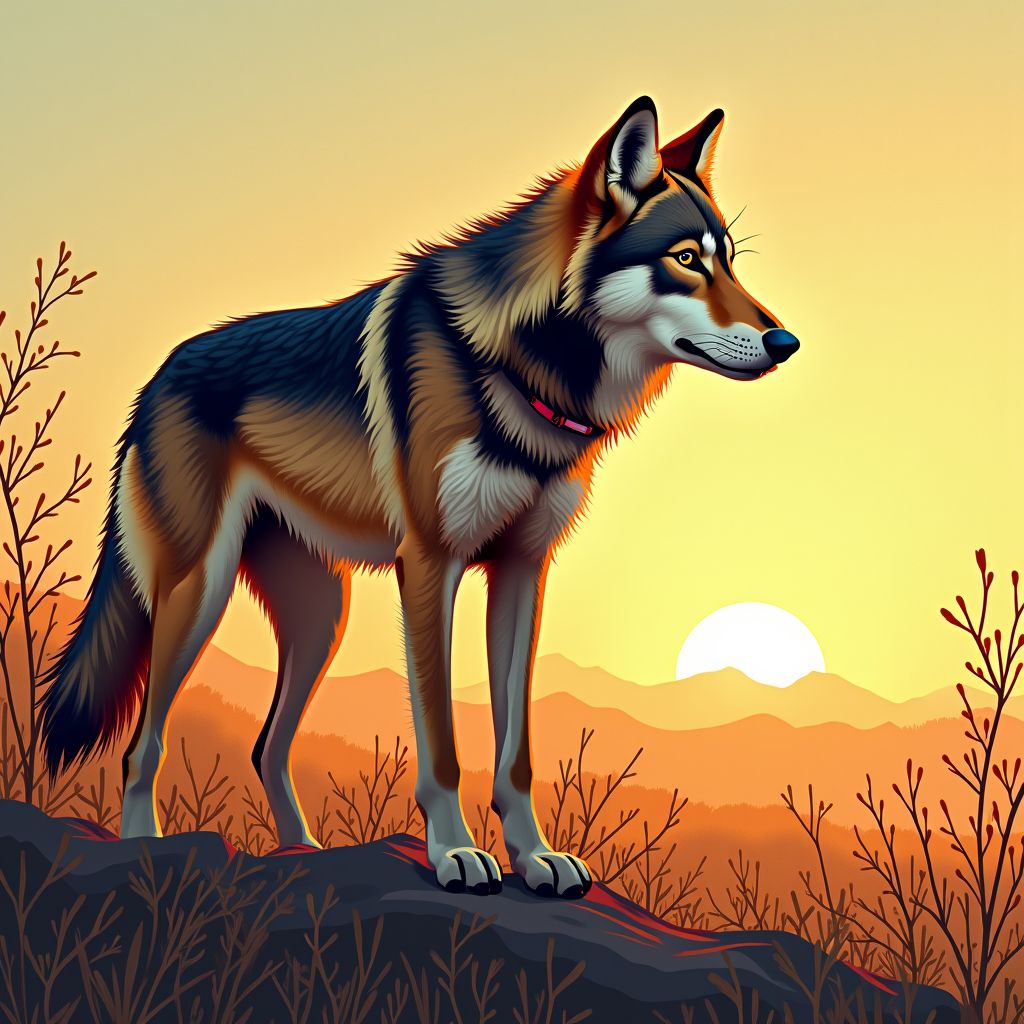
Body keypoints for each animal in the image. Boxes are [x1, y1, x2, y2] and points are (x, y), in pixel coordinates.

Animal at [41, 96, 799, 897]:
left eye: (730, 261)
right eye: (686, 260)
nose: (785, 343)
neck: (524, 366)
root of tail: (157, 376)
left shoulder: (523, 572)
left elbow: (515, 753)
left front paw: (535, 857)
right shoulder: (431, 567)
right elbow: (441, 745)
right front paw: (455, 853)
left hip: (322, 619)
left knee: (266, 745)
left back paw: (301, 853)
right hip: (200, 592)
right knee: (142, 744)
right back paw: (144, 849)